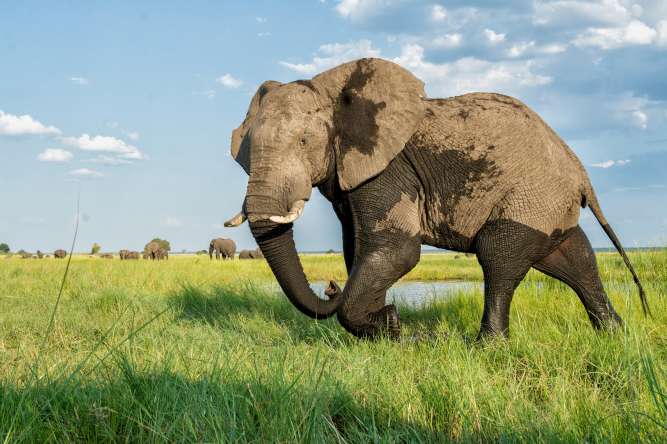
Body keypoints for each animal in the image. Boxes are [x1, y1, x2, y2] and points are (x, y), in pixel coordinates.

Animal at [223, 58, 648, 341]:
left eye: (304, 141)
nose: (330, 286)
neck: (335, 90)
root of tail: (580, 172)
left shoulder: (389, 167)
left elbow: (396, 250)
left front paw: (390, 326)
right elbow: (357, 248)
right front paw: (385, 327)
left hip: (532, 194)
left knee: (499, 254)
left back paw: (486, 347)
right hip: (548, 203)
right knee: (574, 258)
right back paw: (615, 335)